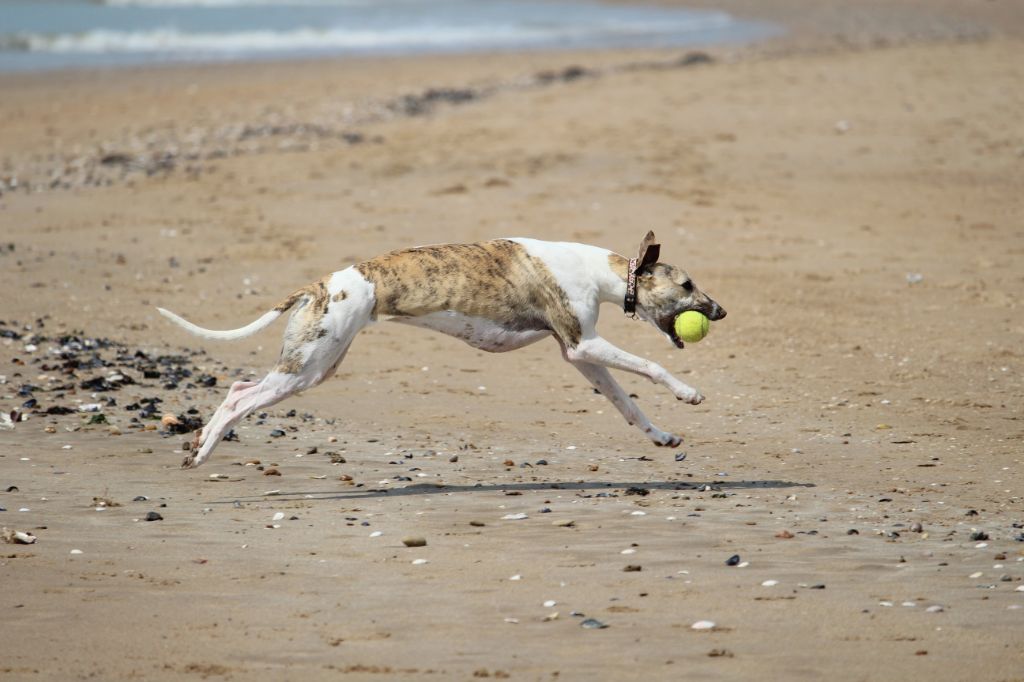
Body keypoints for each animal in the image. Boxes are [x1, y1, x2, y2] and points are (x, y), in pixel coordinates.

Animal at [155, 229, 724, 466]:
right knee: (239, 395)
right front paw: (689, 393)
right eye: (688, 284)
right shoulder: (585, 345)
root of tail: (319, 285)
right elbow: (650, 365)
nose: (720, 312)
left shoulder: (578, 355)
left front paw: (662, 436)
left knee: (239, 385)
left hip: (317, 365)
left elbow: (627, 405)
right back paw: (203, 449)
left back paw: (200, 443)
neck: (595, 270)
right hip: (307, 367)